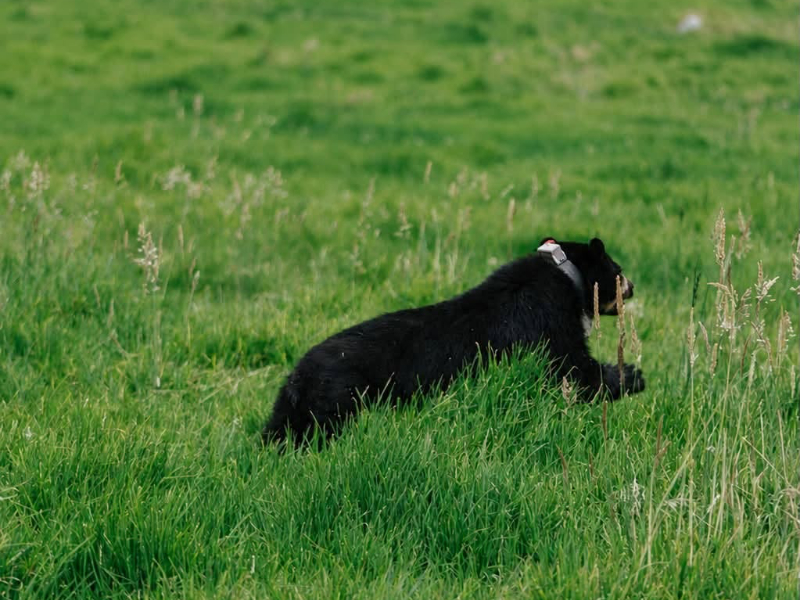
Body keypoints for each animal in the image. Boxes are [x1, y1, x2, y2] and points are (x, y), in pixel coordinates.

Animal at [262, 237, 644, 447]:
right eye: (618, 269)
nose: (631, 287)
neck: (566, 276)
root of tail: (296, 380)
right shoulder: (545, 325)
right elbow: (571, 367)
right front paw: (631, 376)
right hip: (340, 400)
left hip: (291, 414)